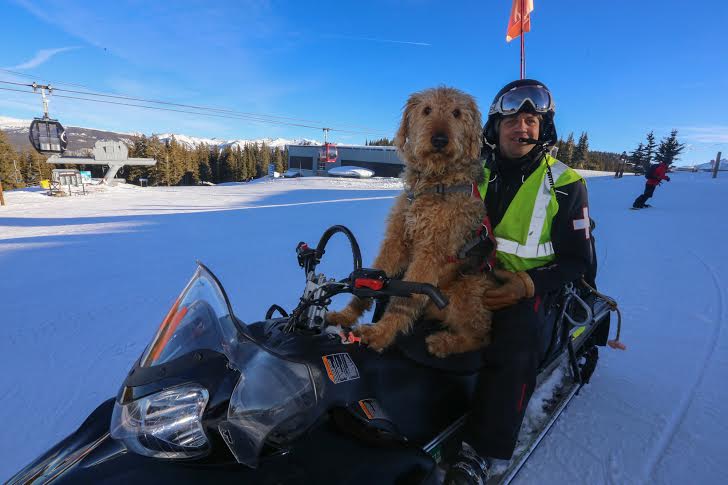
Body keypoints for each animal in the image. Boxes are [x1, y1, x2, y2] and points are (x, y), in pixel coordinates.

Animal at [328, 87, 498, 356]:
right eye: (427, 110)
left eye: (457, 113)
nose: (439, 140)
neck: (433, 183)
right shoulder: (397, 239)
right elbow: (369, 283)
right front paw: (344, 316)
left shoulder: (430, 251)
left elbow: (403, 299)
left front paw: (380, 333)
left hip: (468, 289)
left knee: (482, 337)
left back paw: (443, 342)